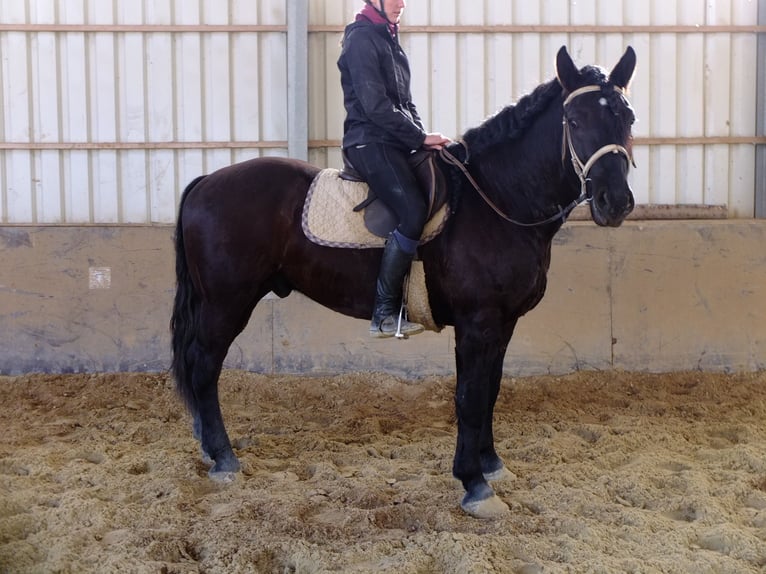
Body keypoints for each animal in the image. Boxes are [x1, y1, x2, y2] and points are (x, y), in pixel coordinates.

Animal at [171, 47, 640, 520]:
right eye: (574, 121)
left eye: (628, 117)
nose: (615, 202)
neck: (496, 200)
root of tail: (205, 182)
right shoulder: (478, 324)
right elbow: (469, 398)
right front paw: (474, 484)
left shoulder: (503, 324)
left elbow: (490, 391)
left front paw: (491, 464)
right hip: (226, 303)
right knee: (204, 367)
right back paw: (224, 458)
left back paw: (209, 450)